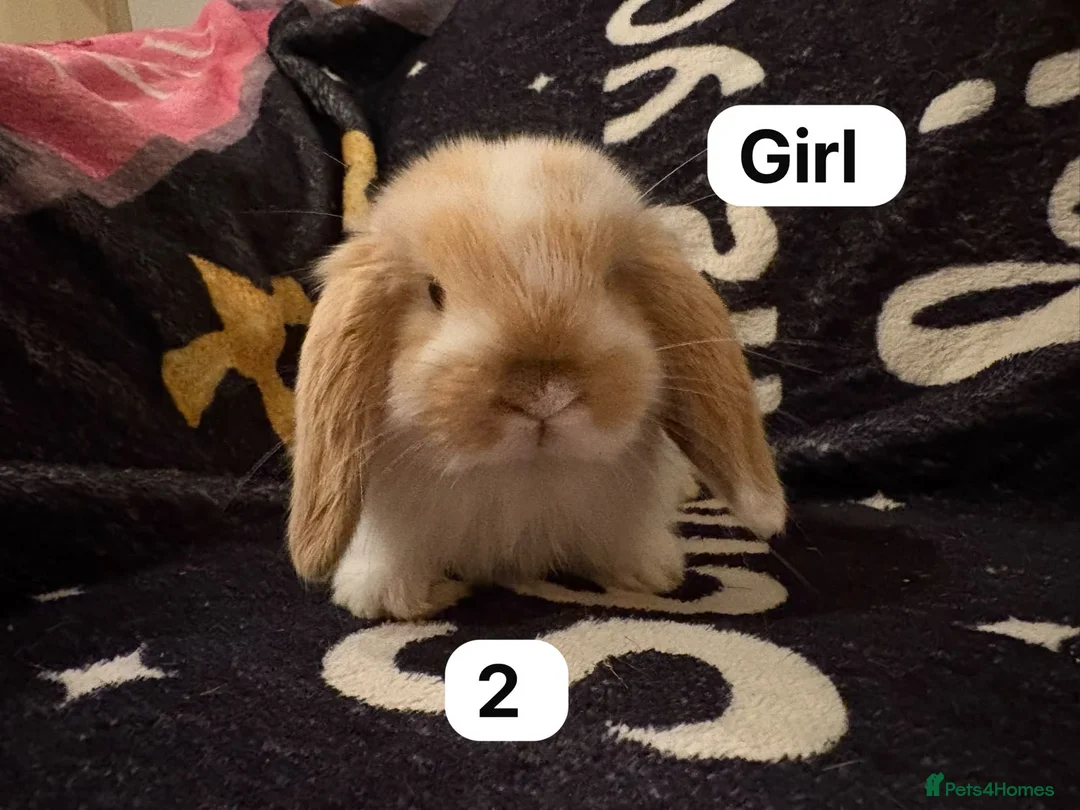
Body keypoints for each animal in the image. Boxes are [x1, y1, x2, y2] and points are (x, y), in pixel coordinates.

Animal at [287, 135, 786, 620]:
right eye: (434, 292)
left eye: (610, 281)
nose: (544, 395)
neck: (521, 474)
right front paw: (383, 598)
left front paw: (649, 571)